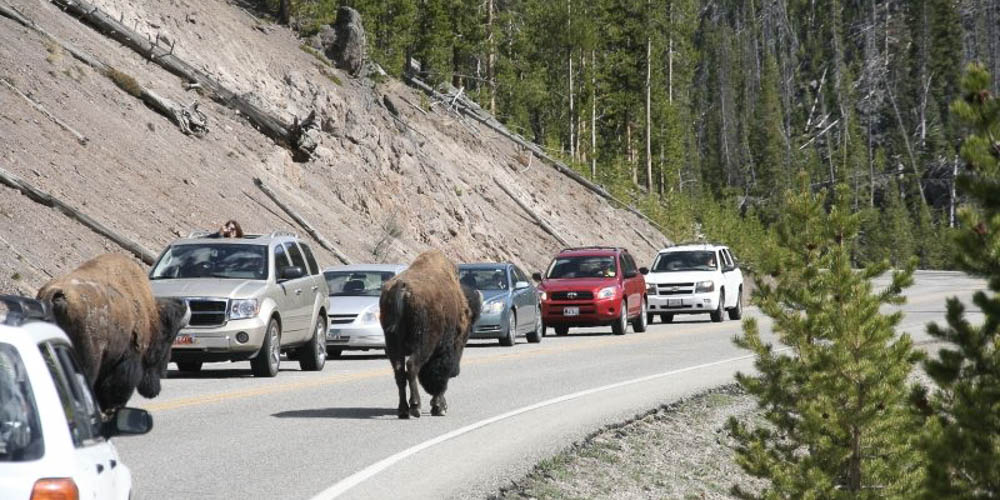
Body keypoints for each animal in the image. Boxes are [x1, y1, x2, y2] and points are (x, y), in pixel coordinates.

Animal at [378, 250, 480, 418]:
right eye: (465, 335)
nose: (457, 371)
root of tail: (402, 288)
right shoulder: (445, 350)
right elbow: (440, 377)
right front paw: (439, 407)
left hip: (392, 343)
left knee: (400, 372)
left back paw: (403, 410)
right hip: (424, 343)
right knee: (412, 366)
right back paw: (416, 406)